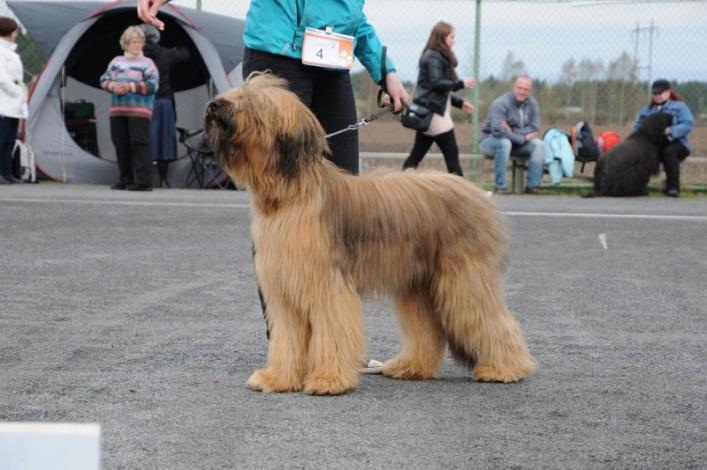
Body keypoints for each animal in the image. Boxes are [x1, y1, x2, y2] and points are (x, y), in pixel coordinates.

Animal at [202, 74, 532, 396]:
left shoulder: (326, 283)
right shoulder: (285, 289)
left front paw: (328, 380)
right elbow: (287, 337)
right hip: (418, 282)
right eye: (237, 92)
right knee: (428, 329)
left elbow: (333, 329)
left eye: (251, 101)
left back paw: (504, 369)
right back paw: (410, 366)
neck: (289, 194)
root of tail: (477, 194)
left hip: (463, 278)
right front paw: (278, 378)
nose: (215, 105)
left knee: (490, 319)